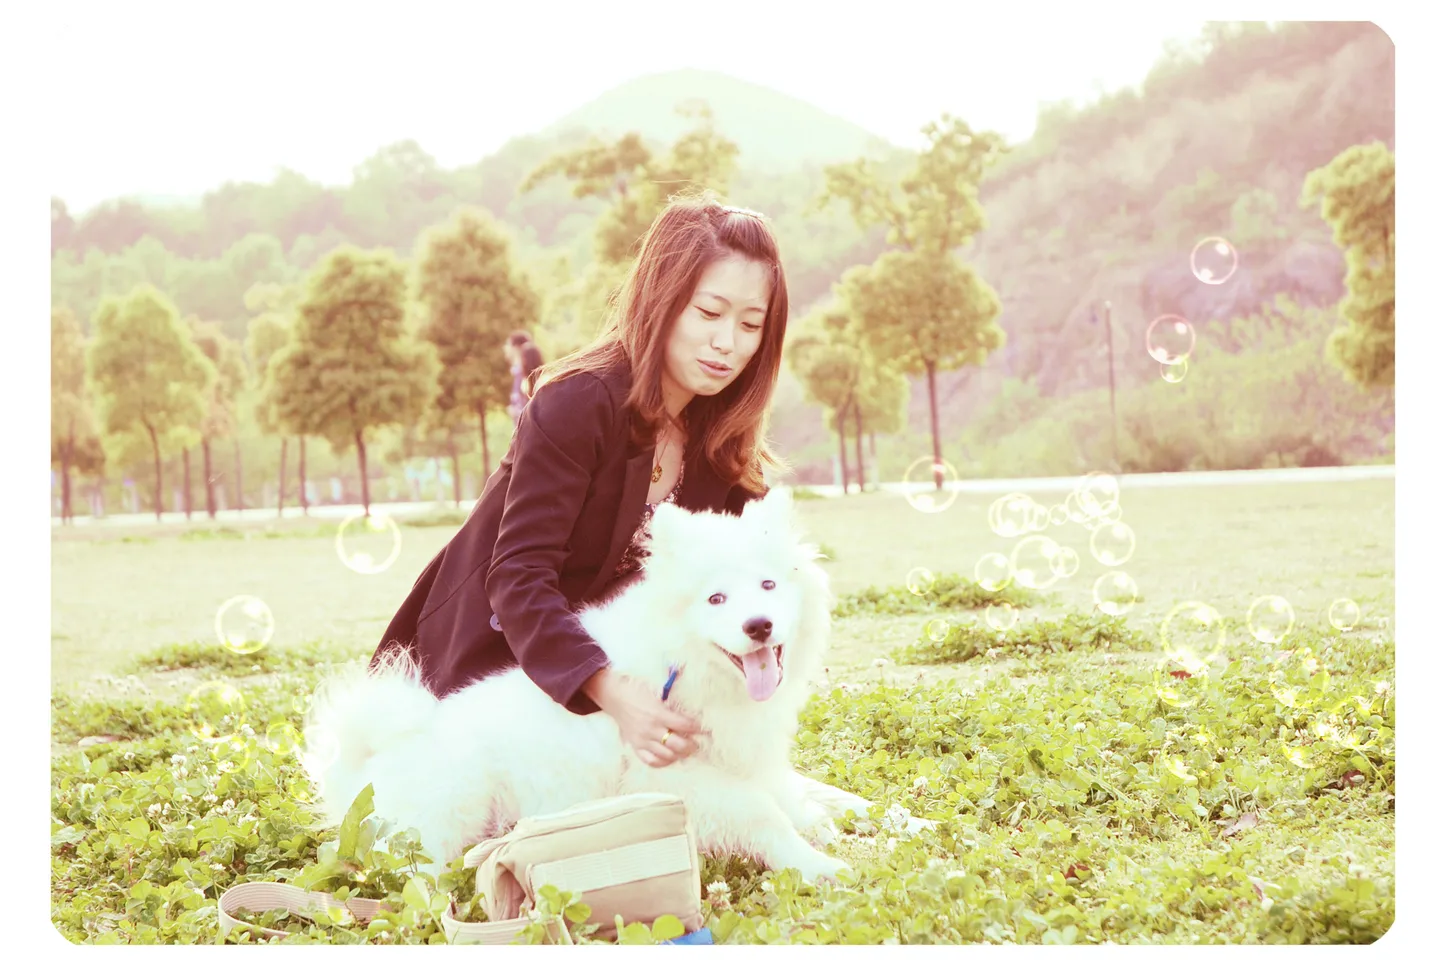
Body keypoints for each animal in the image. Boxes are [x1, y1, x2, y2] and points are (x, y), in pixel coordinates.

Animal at [302, 488, 853, 883]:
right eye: (716, 599)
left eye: (768, 585)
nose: (758, 626)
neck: (684, 665)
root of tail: (365, 761)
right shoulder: (675, 778)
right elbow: (763, 815)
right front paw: (815, 864)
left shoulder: (746, 755)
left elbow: (792, 794)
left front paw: (836, 821)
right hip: (451, 809)